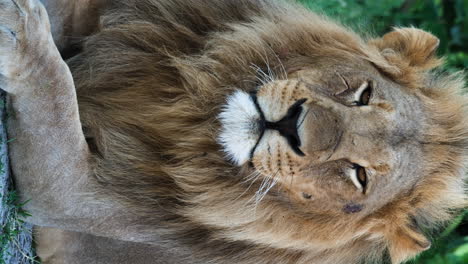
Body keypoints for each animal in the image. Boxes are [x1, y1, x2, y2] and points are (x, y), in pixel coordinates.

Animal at [0, 0, 468, 264]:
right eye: (363, 95)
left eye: (360, 176)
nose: (293, 124)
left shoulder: (72, 198)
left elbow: (55, 96)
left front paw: (17, 32)